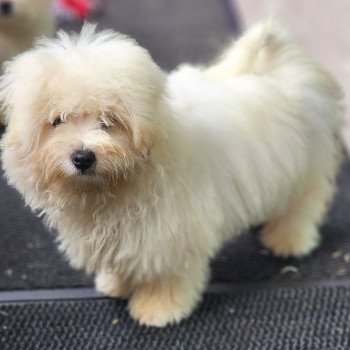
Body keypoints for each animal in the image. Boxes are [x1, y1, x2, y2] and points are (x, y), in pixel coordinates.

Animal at [0, 21, 344, 326]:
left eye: (109, 120)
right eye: (57, 120)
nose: (83, 157)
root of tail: (275, 72)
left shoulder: (171, 236)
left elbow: (166, 277)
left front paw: (157, 310)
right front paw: (116, 282)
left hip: (304, 169)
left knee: (302, 207)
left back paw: (288, 241)